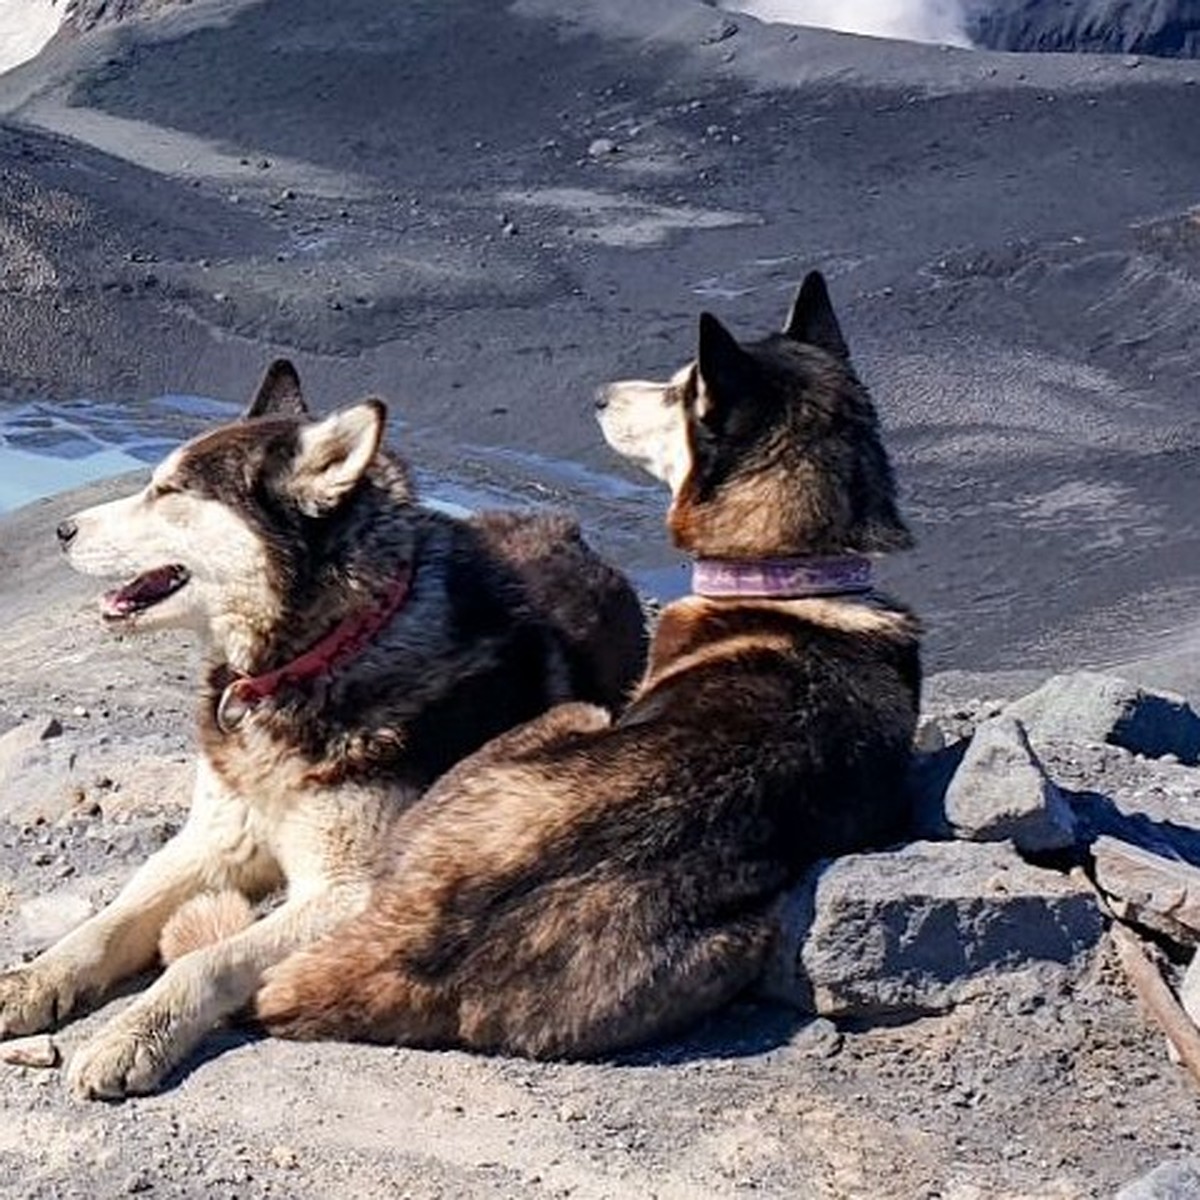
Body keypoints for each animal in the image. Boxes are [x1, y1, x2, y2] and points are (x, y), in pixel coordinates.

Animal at [0, 357, 648, 1099]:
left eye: (169, 491)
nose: (62, 531)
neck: (320, 654)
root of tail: (571, 531)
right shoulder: (212, 839)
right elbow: (108, 922)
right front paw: (32, 980)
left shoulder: (356, 893)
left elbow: (207, 959)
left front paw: (135, 1032)